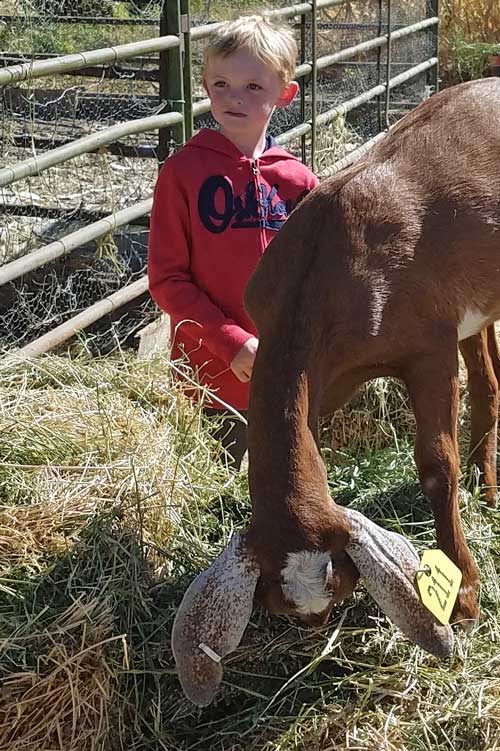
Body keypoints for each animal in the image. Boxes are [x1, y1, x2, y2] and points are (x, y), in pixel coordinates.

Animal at [171, 79, 500, 708]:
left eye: (344, 585)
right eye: (282, 610)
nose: (315, 630)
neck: (327, 269)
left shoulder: (430, 348)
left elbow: (435, 466)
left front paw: (466, 593)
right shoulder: (321, 377)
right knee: (489, 382)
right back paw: (489, 487)